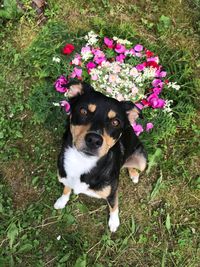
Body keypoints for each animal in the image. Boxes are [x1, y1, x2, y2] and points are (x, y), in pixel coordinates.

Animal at [53, 81, 147, 232]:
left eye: (115, 122)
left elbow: (114, 206)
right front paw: (62, 201)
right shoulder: (65, 177)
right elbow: (66, 189)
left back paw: (134, 175)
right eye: (83, 111)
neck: (82, 162)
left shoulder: (112, 192)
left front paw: (114, 222)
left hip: (142, 160)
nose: (94, 140)